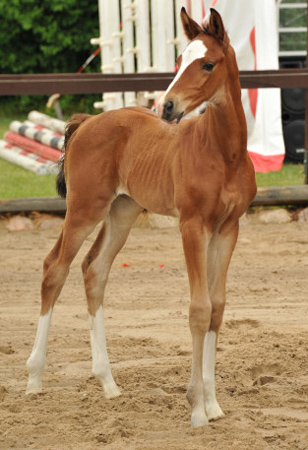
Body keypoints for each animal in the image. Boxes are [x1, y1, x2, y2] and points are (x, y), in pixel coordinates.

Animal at [26, 8, 256, 428]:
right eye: (180, 60)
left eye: (207, 64)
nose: (167, 107)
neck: (223, 152)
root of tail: (85, 122)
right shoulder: (191, 225)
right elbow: (198, 309)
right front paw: (196, 407)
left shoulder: (227, 230)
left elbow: (216, 307)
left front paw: (214, 405)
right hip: (84, 209)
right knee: (55, 268)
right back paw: (34, 379)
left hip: (122, 212)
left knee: (94, 270)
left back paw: (108, 382)